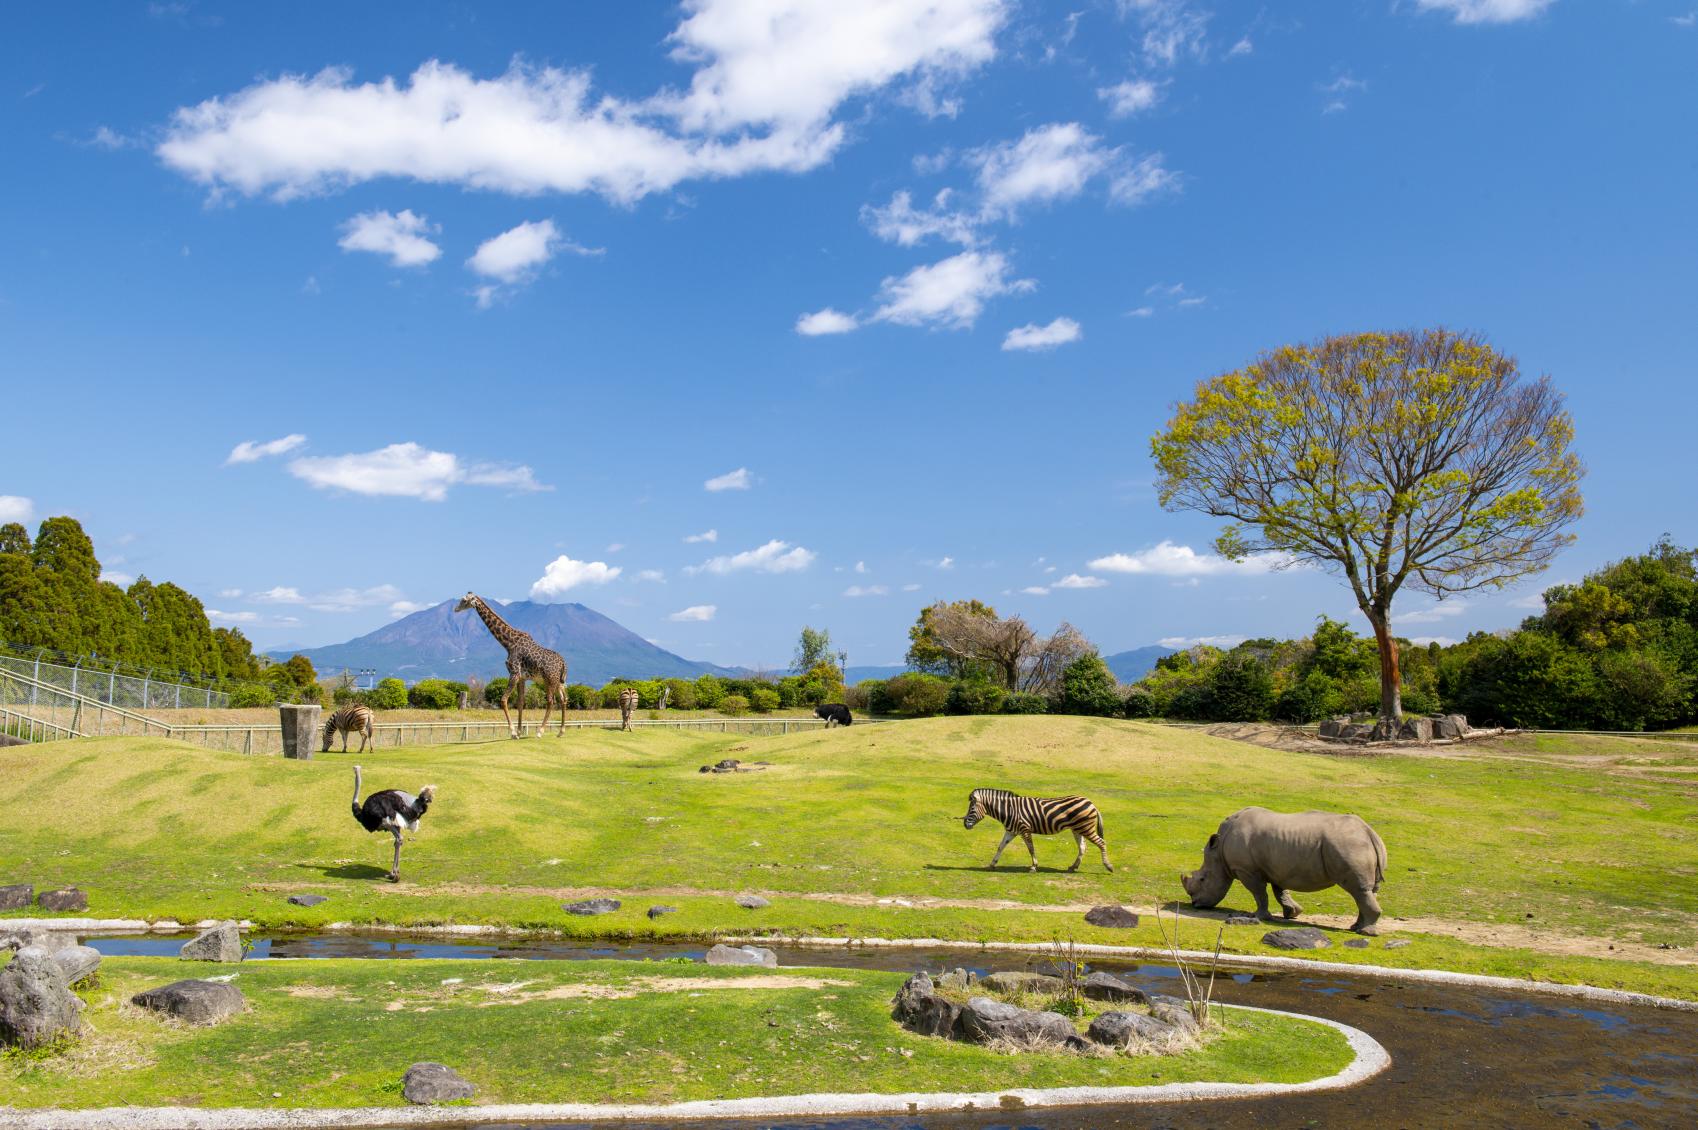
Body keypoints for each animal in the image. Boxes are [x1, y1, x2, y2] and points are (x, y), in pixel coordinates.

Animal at [455, 591, 567, 740]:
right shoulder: (522, 677)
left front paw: (513, 732)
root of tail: (563, 663)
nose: (455, 609)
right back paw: (561, 731)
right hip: (559, 682)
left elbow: (503, 700)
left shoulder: (514, 673)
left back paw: (540, 731)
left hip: (550, 680)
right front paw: (519, 731)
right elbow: (520, 702)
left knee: (551, 701)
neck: (508, 643)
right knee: (563, 699)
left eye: (464, 600)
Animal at [957, 785, 1113, 870]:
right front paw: (992, 864)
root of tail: (1091, 803)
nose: (965, 825)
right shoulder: (1011, 831)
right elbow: (1000, 846)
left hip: (1086, 828)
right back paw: (1073, 867)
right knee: (1082, 847)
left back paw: (1108, 866)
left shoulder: (1024, 829)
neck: (1009, 809)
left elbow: (1031, 848)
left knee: (1101, 843)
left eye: (971, 809)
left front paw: (1034, 866)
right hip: (1078, 829)